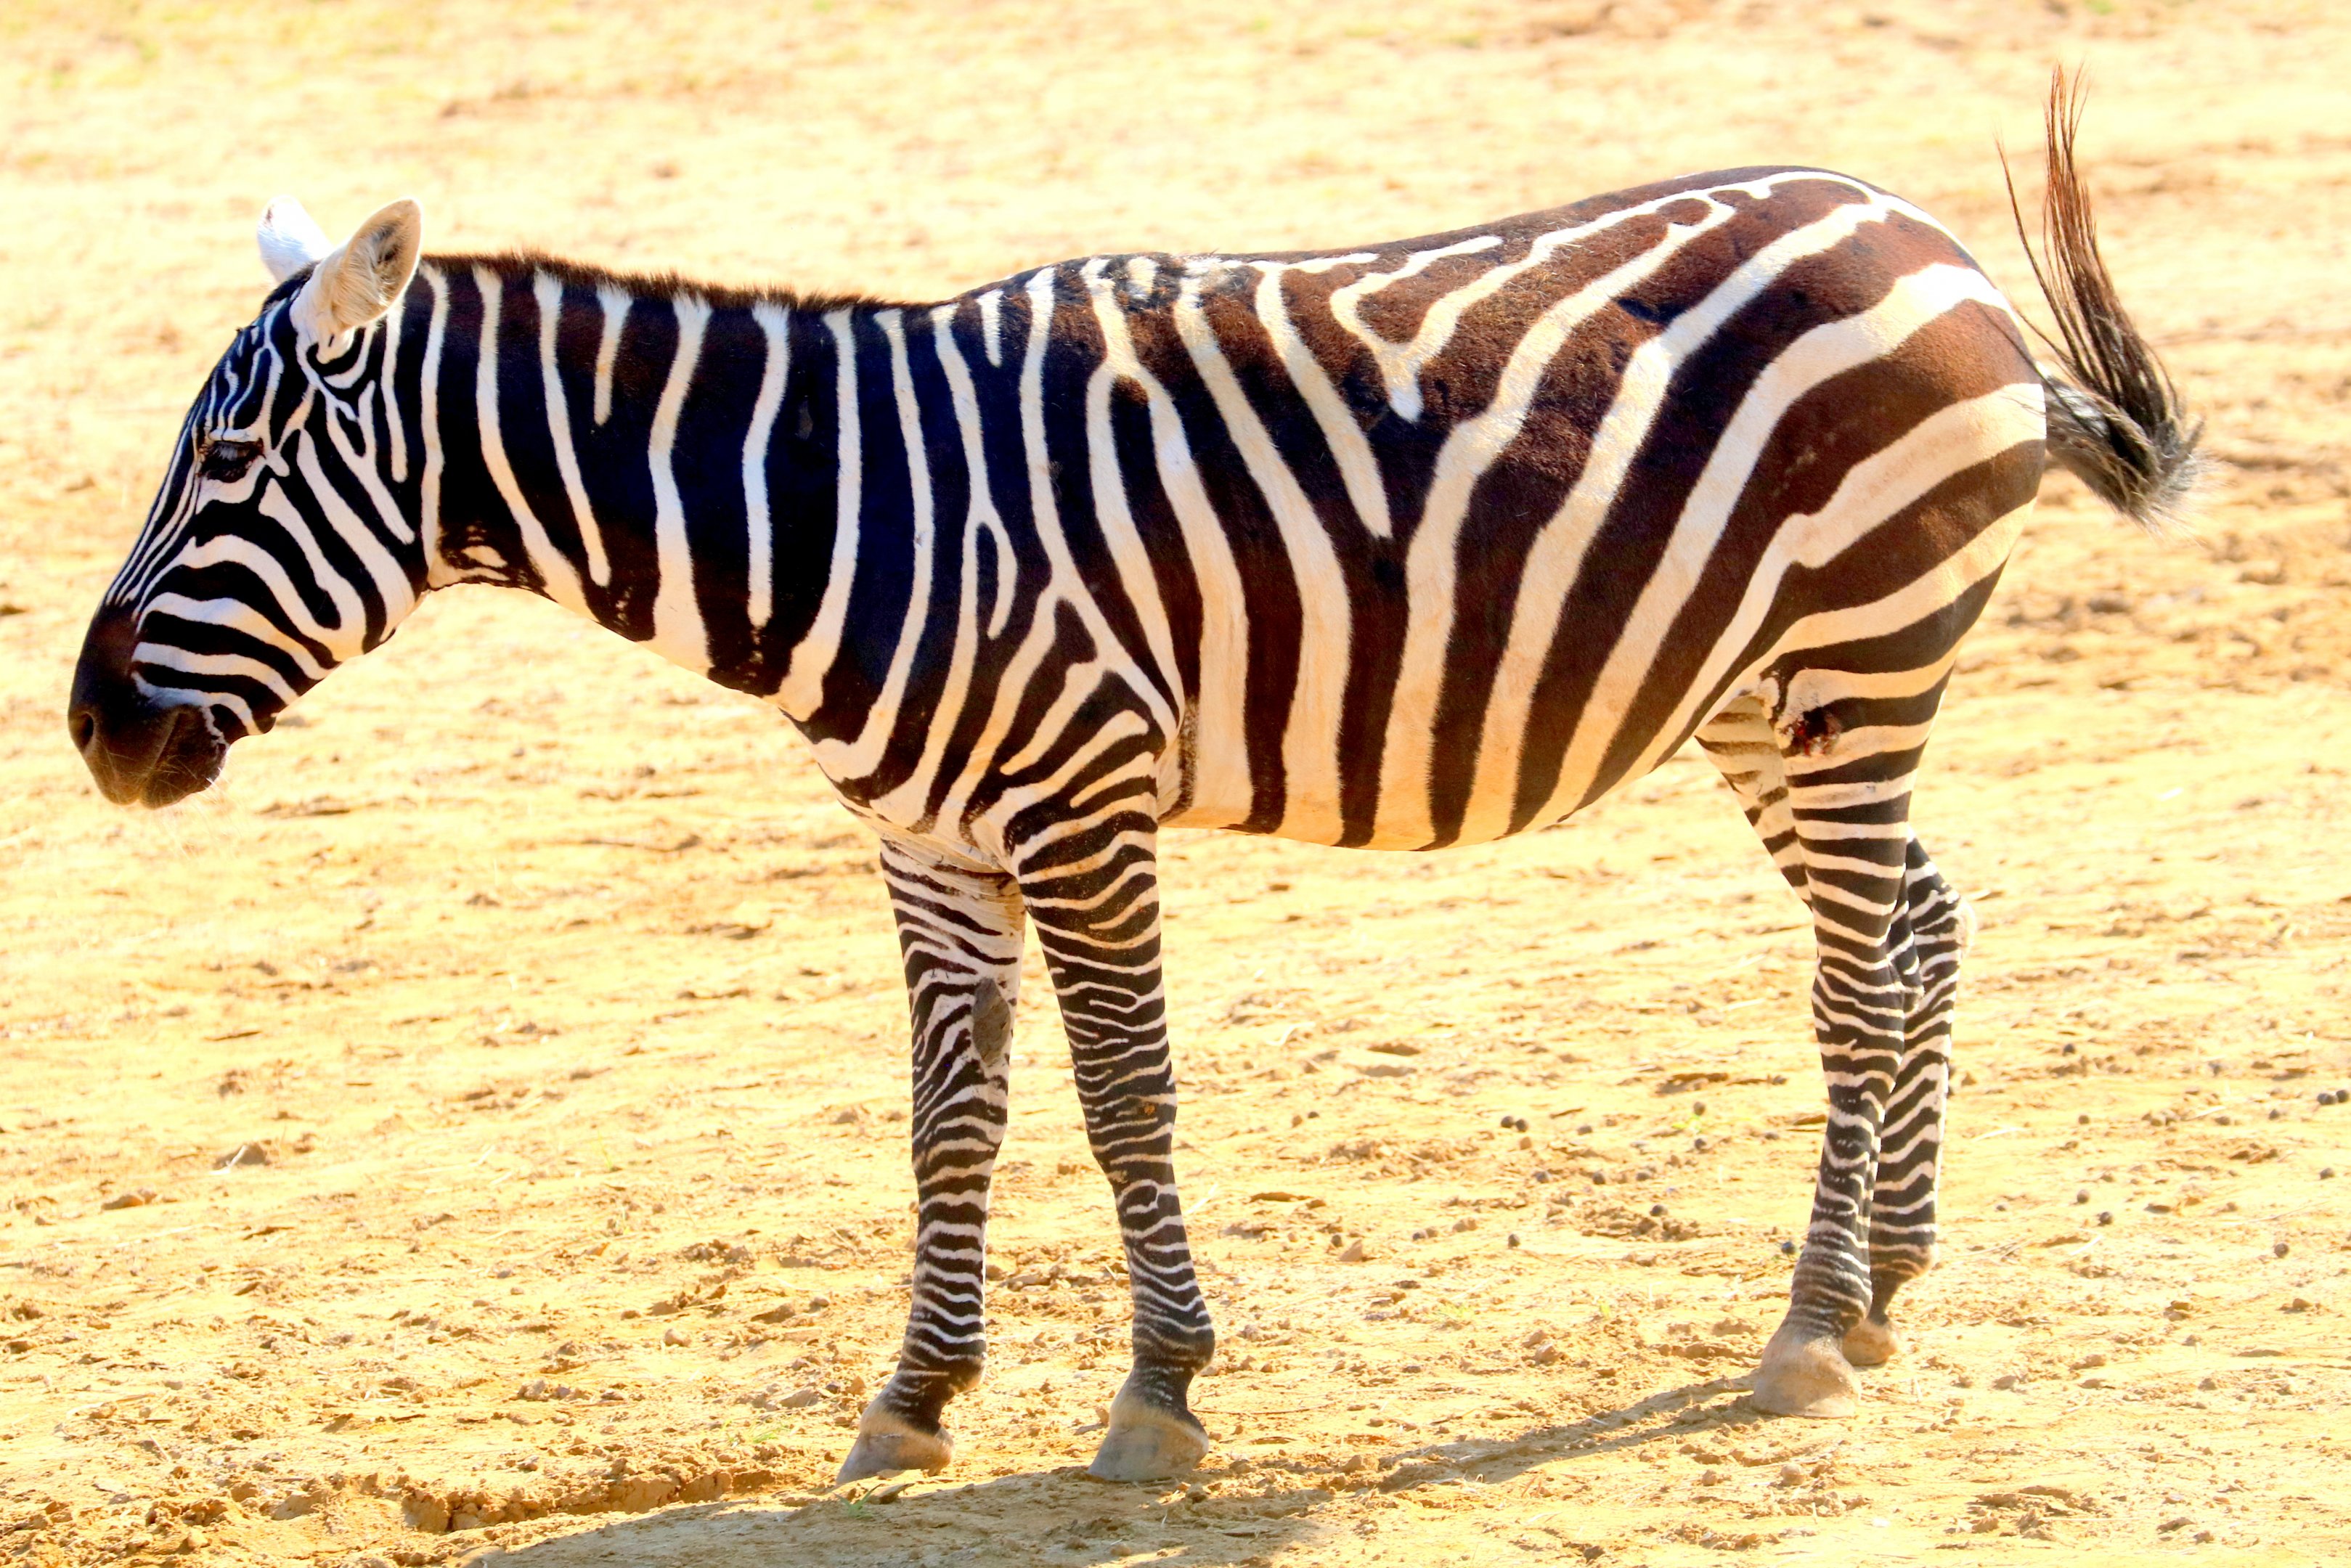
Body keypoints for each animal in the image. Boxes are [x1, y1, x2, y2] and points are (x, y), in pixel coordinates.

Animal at [69, 78, 2197, 1483]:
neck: (841, 511)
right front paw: (913, 1397)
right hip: (1772, 691)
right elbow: (947, 1123)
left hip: (1856, 652)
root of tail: (1926, 237)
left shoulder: (1074, 803)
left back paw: (1811, 1326)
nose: (89, 730)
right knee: (1920, 925)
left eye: (232, 461)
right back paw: (1892, 1276)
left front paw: (1160, 1389)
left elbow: (1119, 1099)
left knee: (1856, 977)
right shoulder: (927, 842)